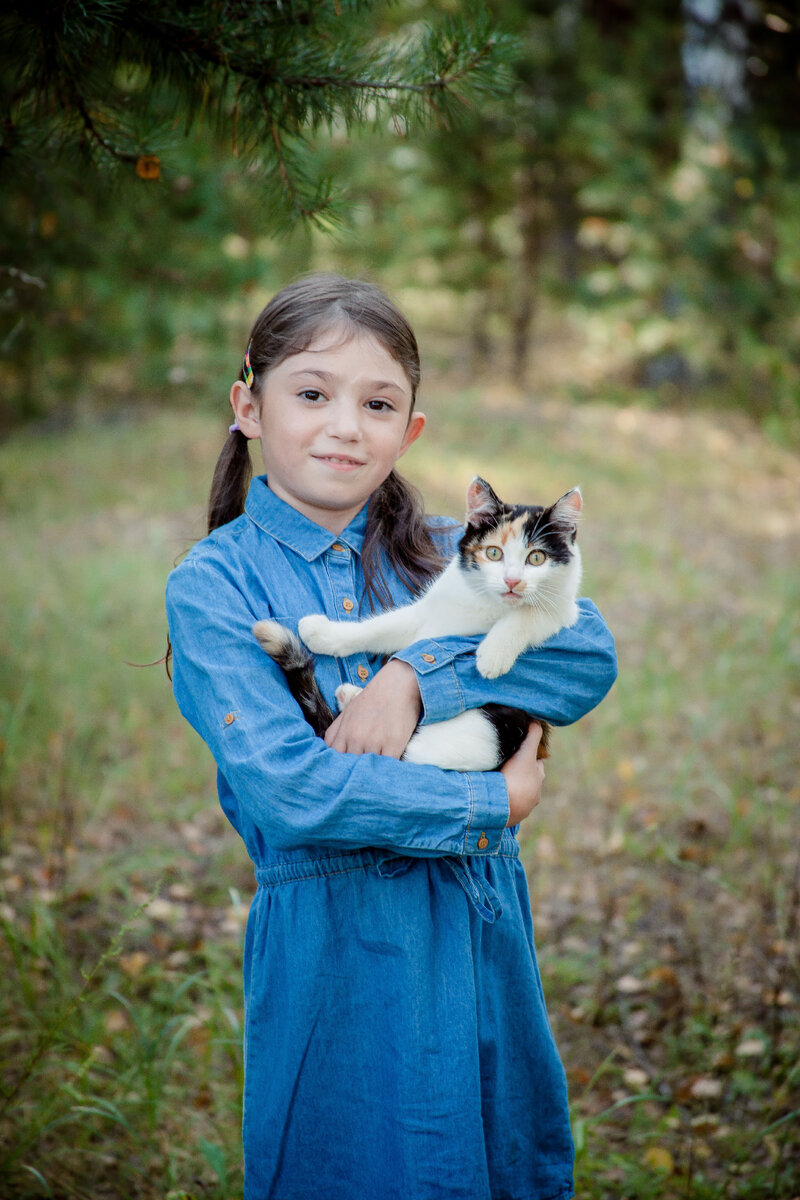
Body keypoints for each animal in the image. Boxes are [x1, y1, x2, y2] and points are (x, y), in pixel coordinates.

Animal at [255, 480, 582, 772]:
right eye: (493, 553)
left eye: (536, 558)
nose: (512, 582)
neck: (485, 602)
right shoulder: (427, 613)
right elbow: (381, 628)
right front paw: (323, 633)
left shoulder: (565, 610)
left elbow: (530, 614)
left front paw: (492, 656)